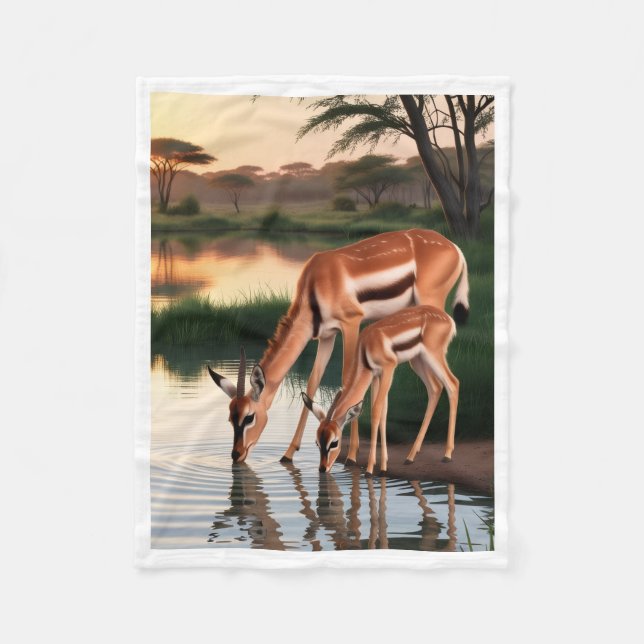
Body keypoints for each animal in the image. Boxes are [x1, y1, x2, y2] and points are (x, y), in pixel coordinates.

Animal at [302, 305, 459, 475]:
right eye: (317, 442)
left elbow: (376, 410)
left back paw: (447, 455)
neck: (365, 348)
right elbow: (383, 412)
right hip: (418, 361)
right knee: (435, 388)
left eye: (334, 442)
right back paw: (410, 457)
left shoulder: (388, 369)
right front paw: (383, 466)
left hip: (433, 355)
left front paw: (370, 469)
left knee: (453, 384)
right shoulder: (376, 376)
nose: (322, 469)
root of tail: (448, 319)